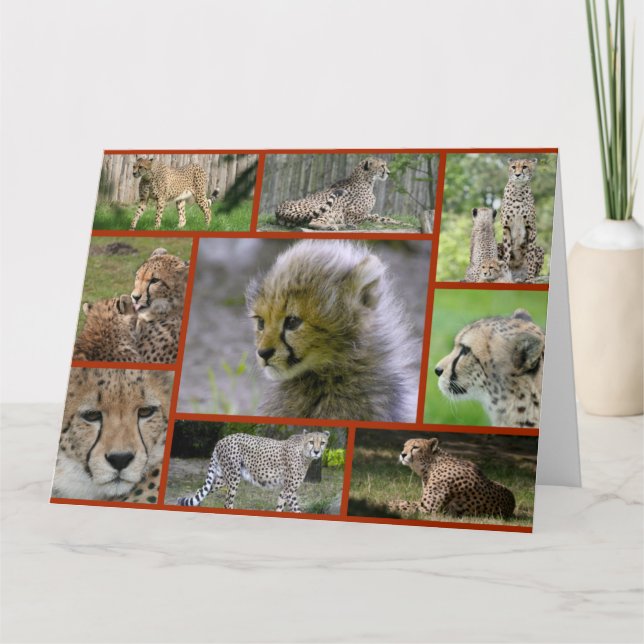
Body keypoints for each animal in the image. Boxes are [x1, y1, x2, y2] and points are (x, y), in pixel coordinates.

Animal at [177, 430, 329, 512]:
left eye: (322, 443)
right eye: (311, 441)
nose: (316, 452)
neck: (304, 453)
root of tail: (221, 440)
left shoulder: (286, 490)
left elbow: (287, 508)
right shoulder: (288, 490)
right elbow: (289, 508)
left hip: (222, 479)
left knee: (200, 491)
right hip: (233, 478)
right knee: (227, 503)